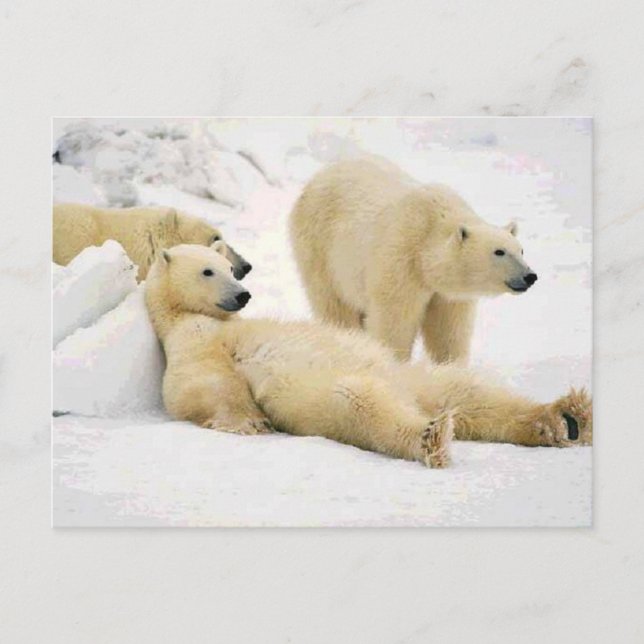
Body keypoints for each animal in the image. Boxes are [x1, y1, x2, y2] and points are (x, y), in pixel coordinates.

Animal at [144, 242, 591, 469]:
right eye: (208, 271)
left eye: (230, 269)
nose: (242, 295)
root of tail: (415, 399)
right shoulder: (191, 342)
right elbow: (202, 386)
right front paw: (250, 422)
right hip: (326, 394)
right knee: (360, 403)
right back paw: (431, 437)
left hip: (413, 376)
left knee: (470, 394)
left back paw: (565, 418)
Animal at [289, 156, 538, 363]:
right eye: (499, 251)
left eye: (521, 250)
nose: (530, 276)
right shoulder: (401, 260)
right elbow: (394, 321)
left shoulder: (448, 295)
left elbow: (448, 331)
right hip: (320, 249)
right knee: (335, 307)